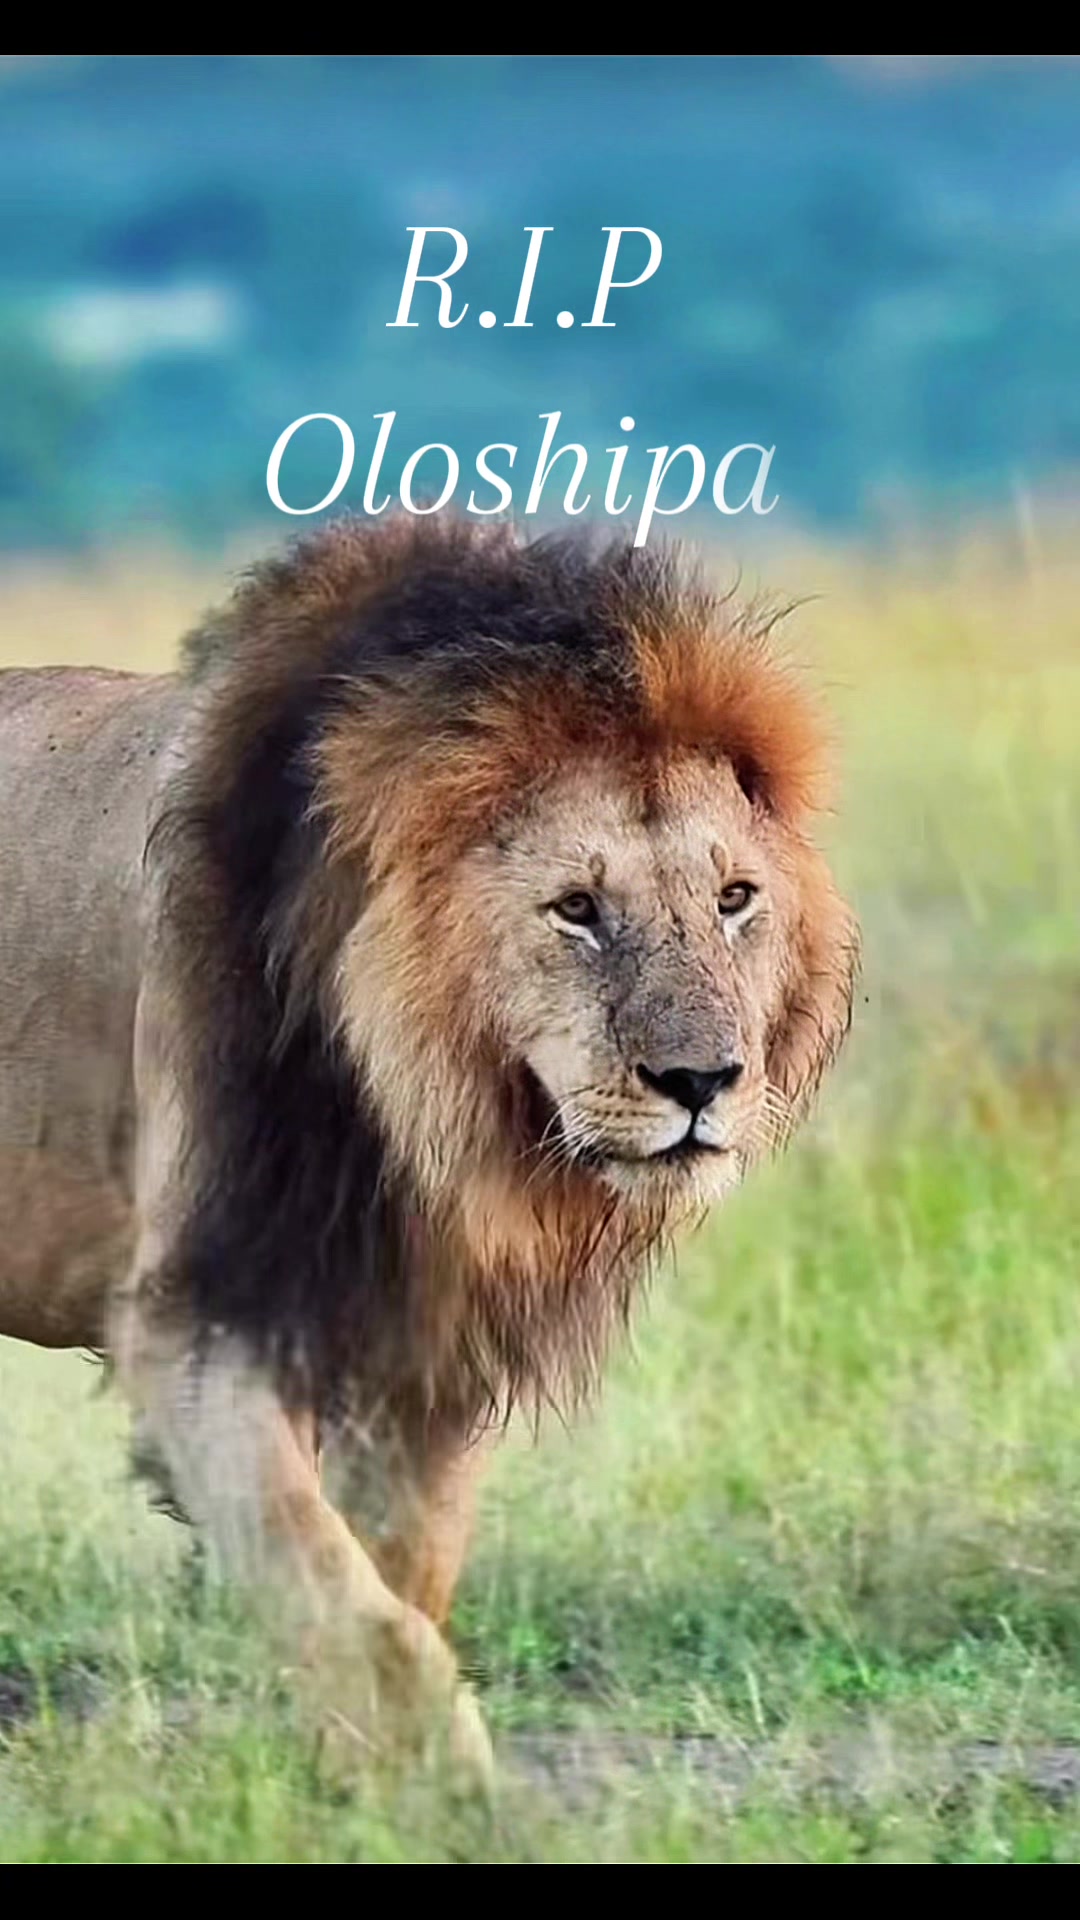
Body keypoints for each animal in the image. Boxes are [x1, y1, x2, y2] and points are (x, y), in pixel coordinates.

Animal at [0, 516, 857, 1786]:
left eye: (736, 899)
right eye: (576, 909)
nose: (704, 1082)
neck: (433, 1128)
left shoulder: (432, 1356)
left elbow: (401, 1576)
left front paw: (349, 1783)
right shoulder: (197, 1312)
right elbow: (342, 1588)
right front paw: (452, 1788)